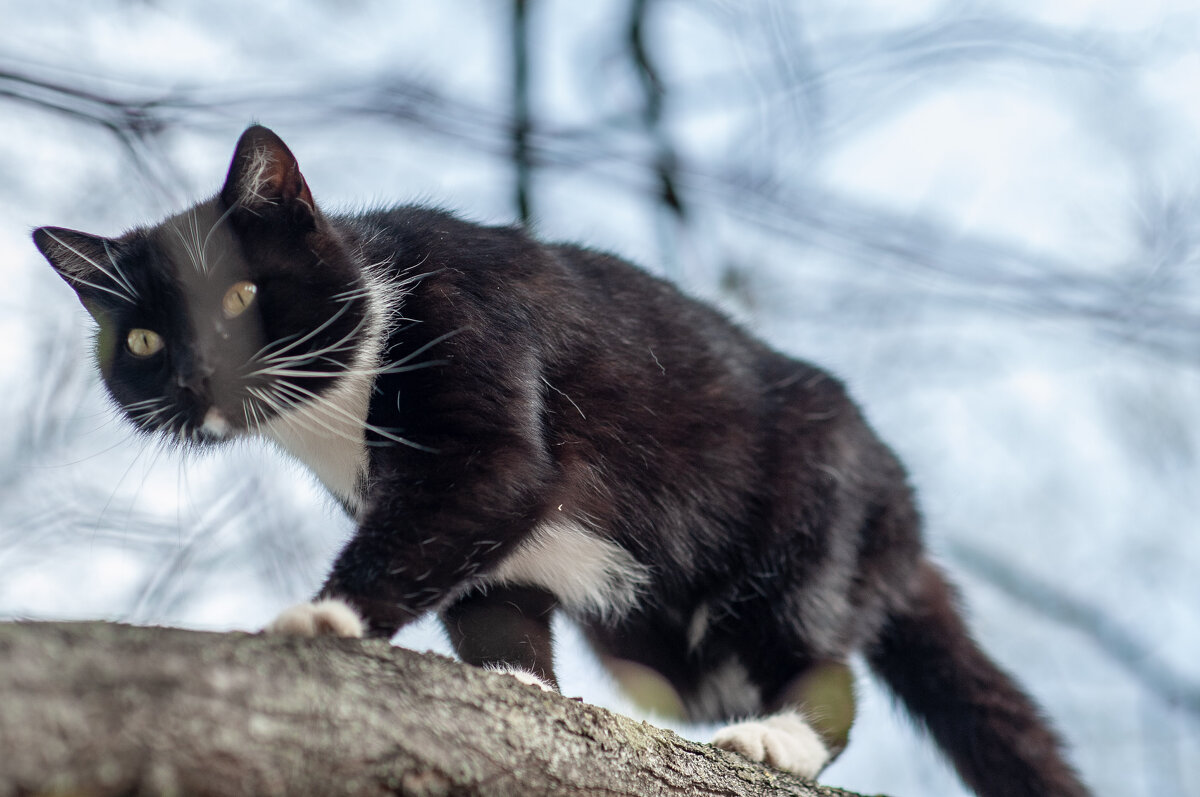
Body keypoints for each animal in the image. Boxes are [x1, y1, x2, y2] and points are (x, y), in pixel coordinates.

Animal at [35, 126, 1089, 797]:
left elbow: (480, 492)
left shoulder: (478, 343)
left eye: (242, 295)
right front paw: (522, 687)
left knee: (819, 660)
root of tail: (903, 517)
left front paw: (322, 616)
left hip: (809, 522)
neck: (341, 395)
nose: (194, 376)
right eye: (142, 341)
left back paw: (775, 737)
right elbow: (489, 596)